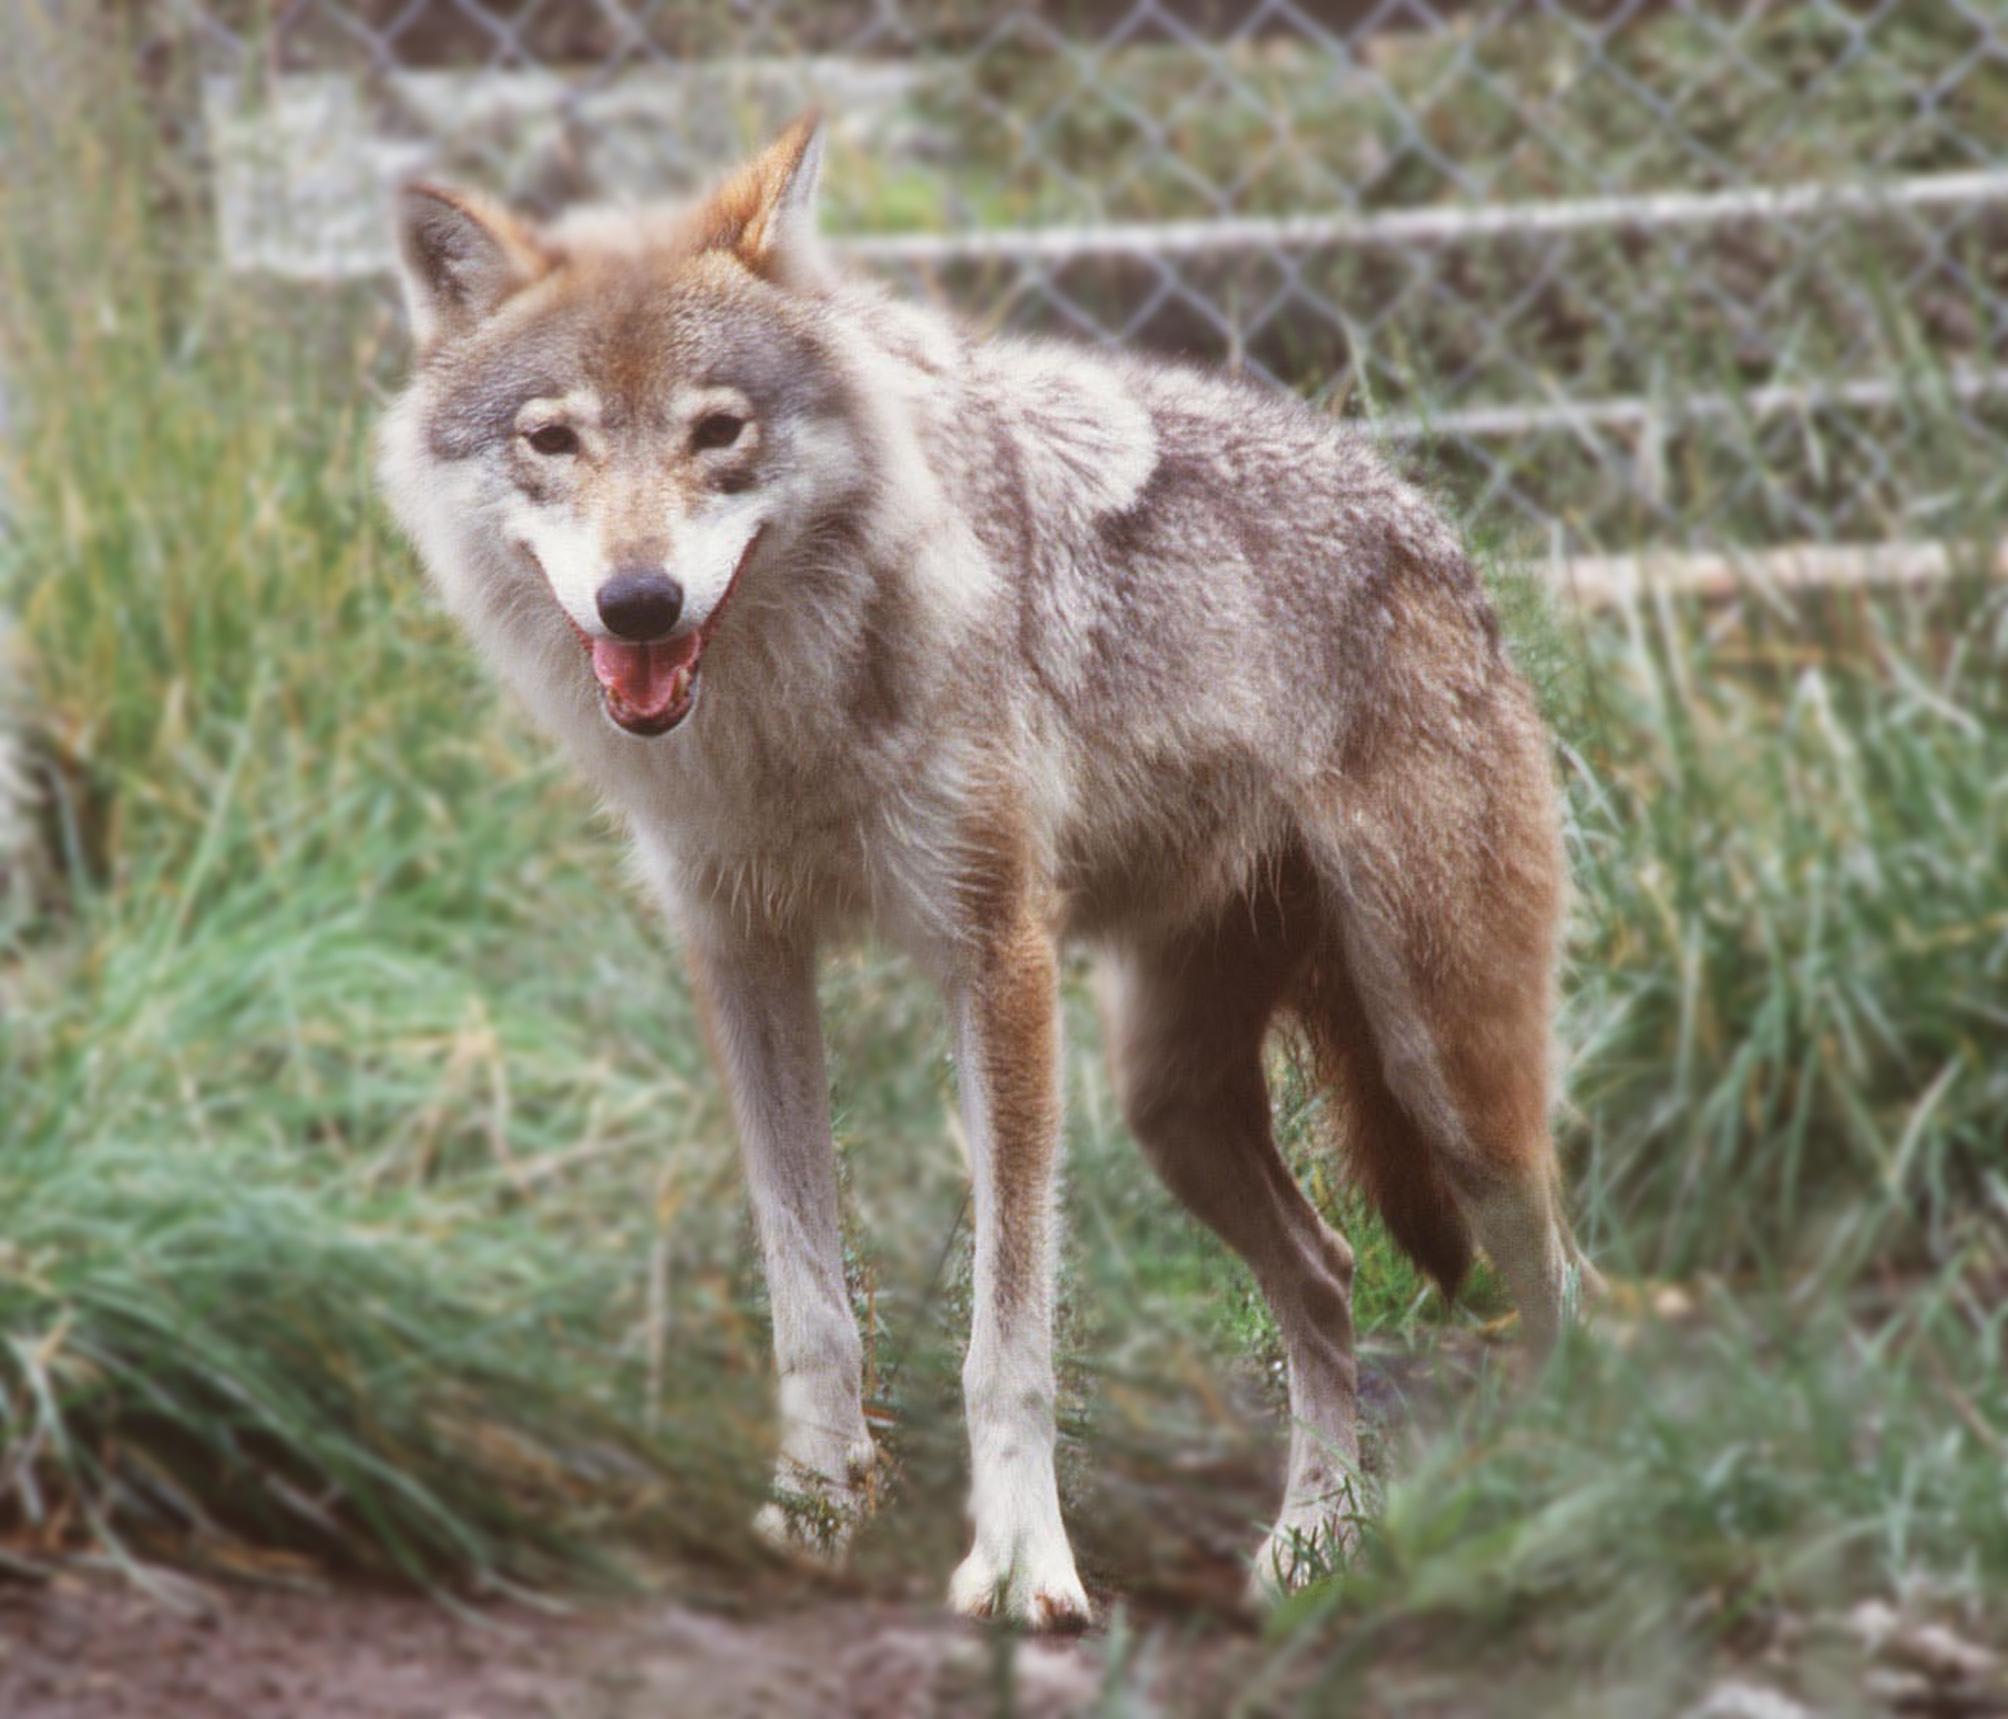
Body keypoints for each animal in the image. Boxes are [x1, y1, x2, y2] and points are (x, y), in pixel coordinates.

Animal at [377, 115, 1598, 1628]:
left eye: (719, 431)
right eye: (553, 439)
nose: (640, 602)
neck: (791, 722)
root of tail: (1435, 524)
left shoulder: (997, 958)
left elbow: (1006, 1340)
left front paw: (1022, 1567)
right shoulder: (747, 963)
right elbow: (810, 1302)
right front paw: (811, 1510)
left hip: (1448, 1080)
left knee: (1562, 1284)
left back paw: (1552, 1507)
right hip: (1169, 1106)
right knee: (1324, 1272)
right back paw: (1313, 1542)